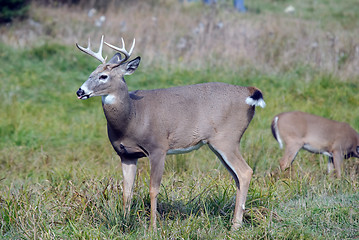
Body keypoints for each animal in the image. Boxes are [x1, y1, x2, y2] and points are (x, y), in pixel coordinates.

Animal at [76, 36, 268, 231]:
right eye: (91, 73)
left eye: (103, 76)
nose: (80, 91)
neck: (133, 117)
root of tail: (248, 92)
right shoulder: (126, 154)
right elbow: (127, 191)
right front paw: (124, 223)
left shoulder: (158, 148)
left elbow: (153, 189)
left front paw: (152, 228)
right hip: (218, 144)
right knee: (237, 177)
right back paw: (235, 221)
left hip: (227, 138)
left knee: (245, 172)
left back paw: (235, 226)